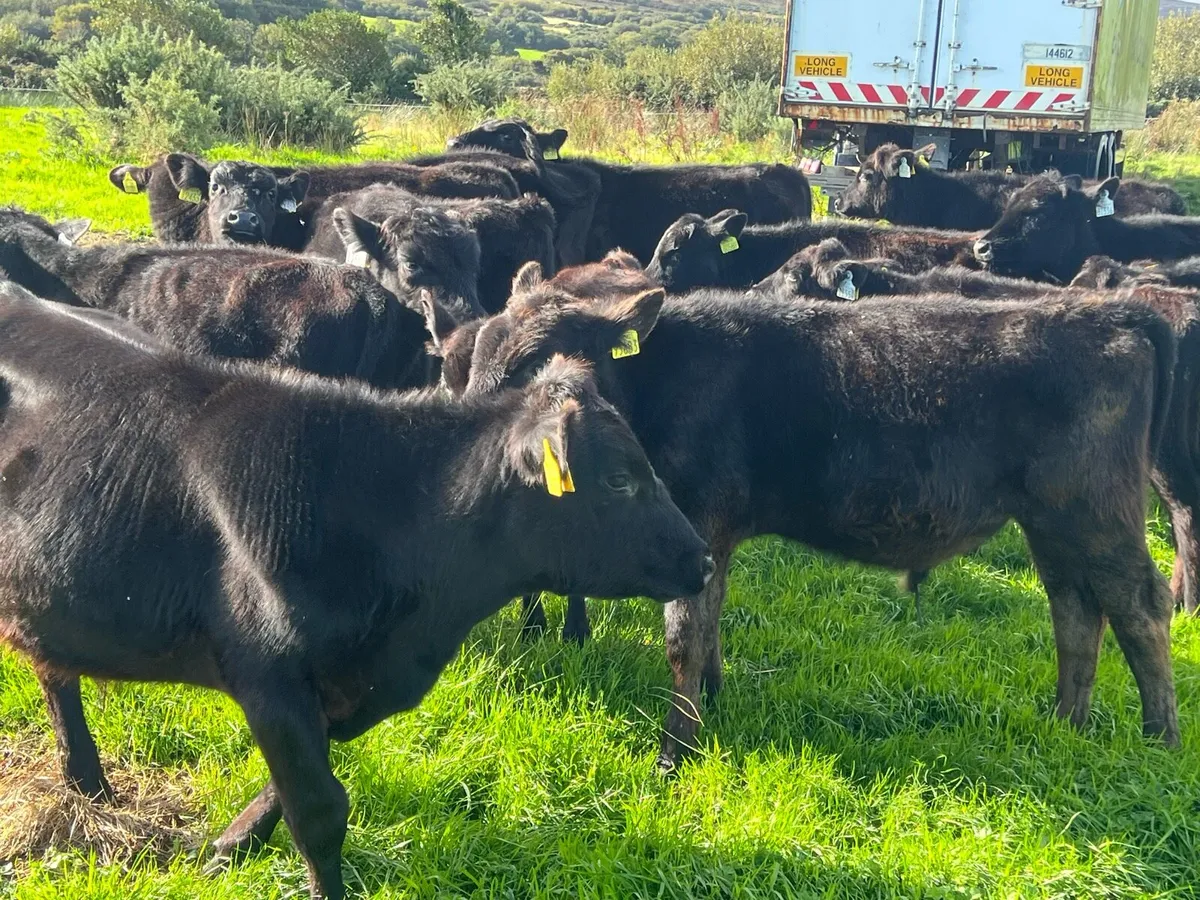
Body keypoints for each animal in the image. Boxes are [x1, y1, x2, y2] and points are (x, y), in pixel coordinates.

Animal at [0, 283, 712, 900]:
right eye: (619, 479)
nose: (702, 559)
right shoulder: (268, 676)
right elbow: (317, 813)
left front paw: (229, 846)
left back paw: (87, 784)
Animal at [448, 255, 1181, 775]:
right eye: (477, 356)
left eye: (534, 364)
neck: (664, 380)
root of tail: (1115, 312)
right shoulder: (710, 540)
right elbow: (711, 623)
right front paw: (714, 702)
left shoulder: (695, 523)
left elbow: (684, 637)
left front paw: (671, 756)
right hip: (1054, 524)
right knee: (1076, 610)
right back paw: (1067, 724)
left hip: (1094, 513)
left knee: (1140, 606)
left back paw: (1160, 743)